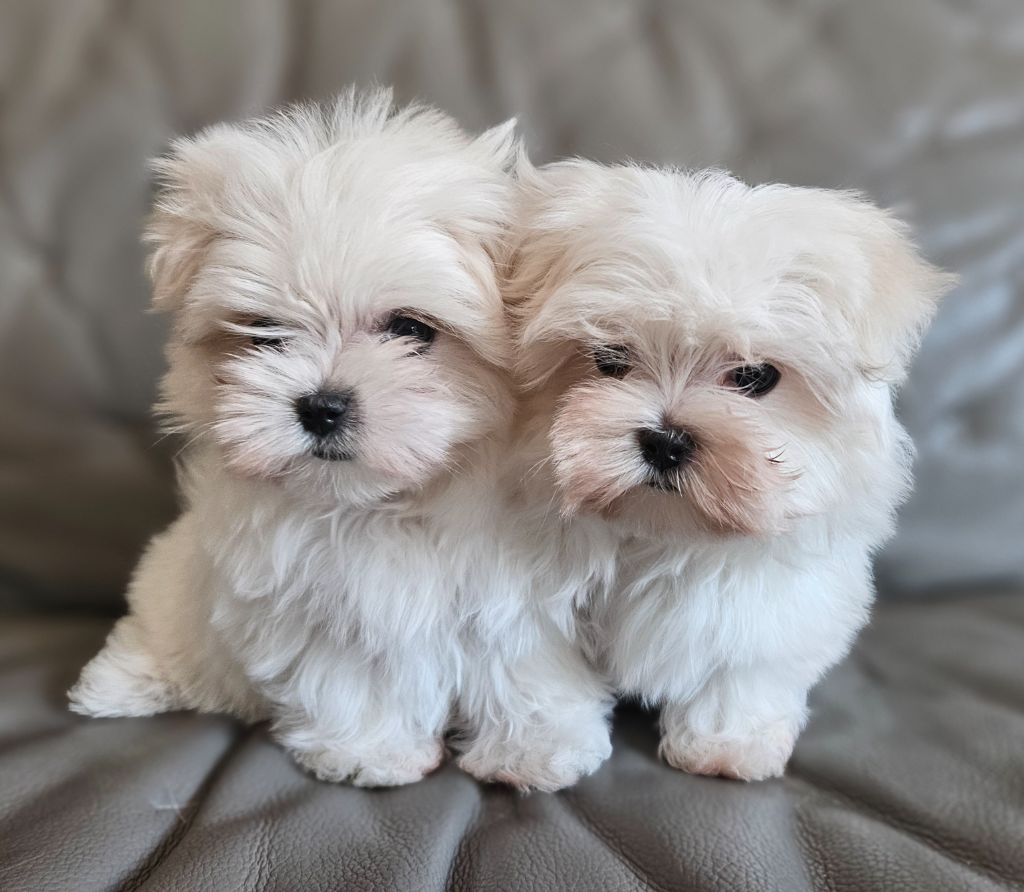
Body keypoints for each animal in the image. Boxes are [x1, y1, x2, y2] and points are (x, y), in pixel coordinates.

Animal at [74, 87, 614, 790]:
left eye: (411, 329)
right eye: (265, 332)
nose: (321, 406)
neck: (389, 503)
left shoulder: (513, 590)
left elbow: (519, 662)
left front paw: (538, 747)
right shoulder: (312, 601)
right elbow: (353, 677)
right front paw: (372, 751)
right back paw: (124, 682)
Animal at [507, 160, 954, 782]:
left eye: (753, 376)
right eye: (610, 359)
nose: (666, 441)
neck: (664, 533)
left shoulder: (769, 601)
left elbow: (744, 661)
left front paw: (726, 744)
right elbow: (539, 665)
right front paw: (543, 750)